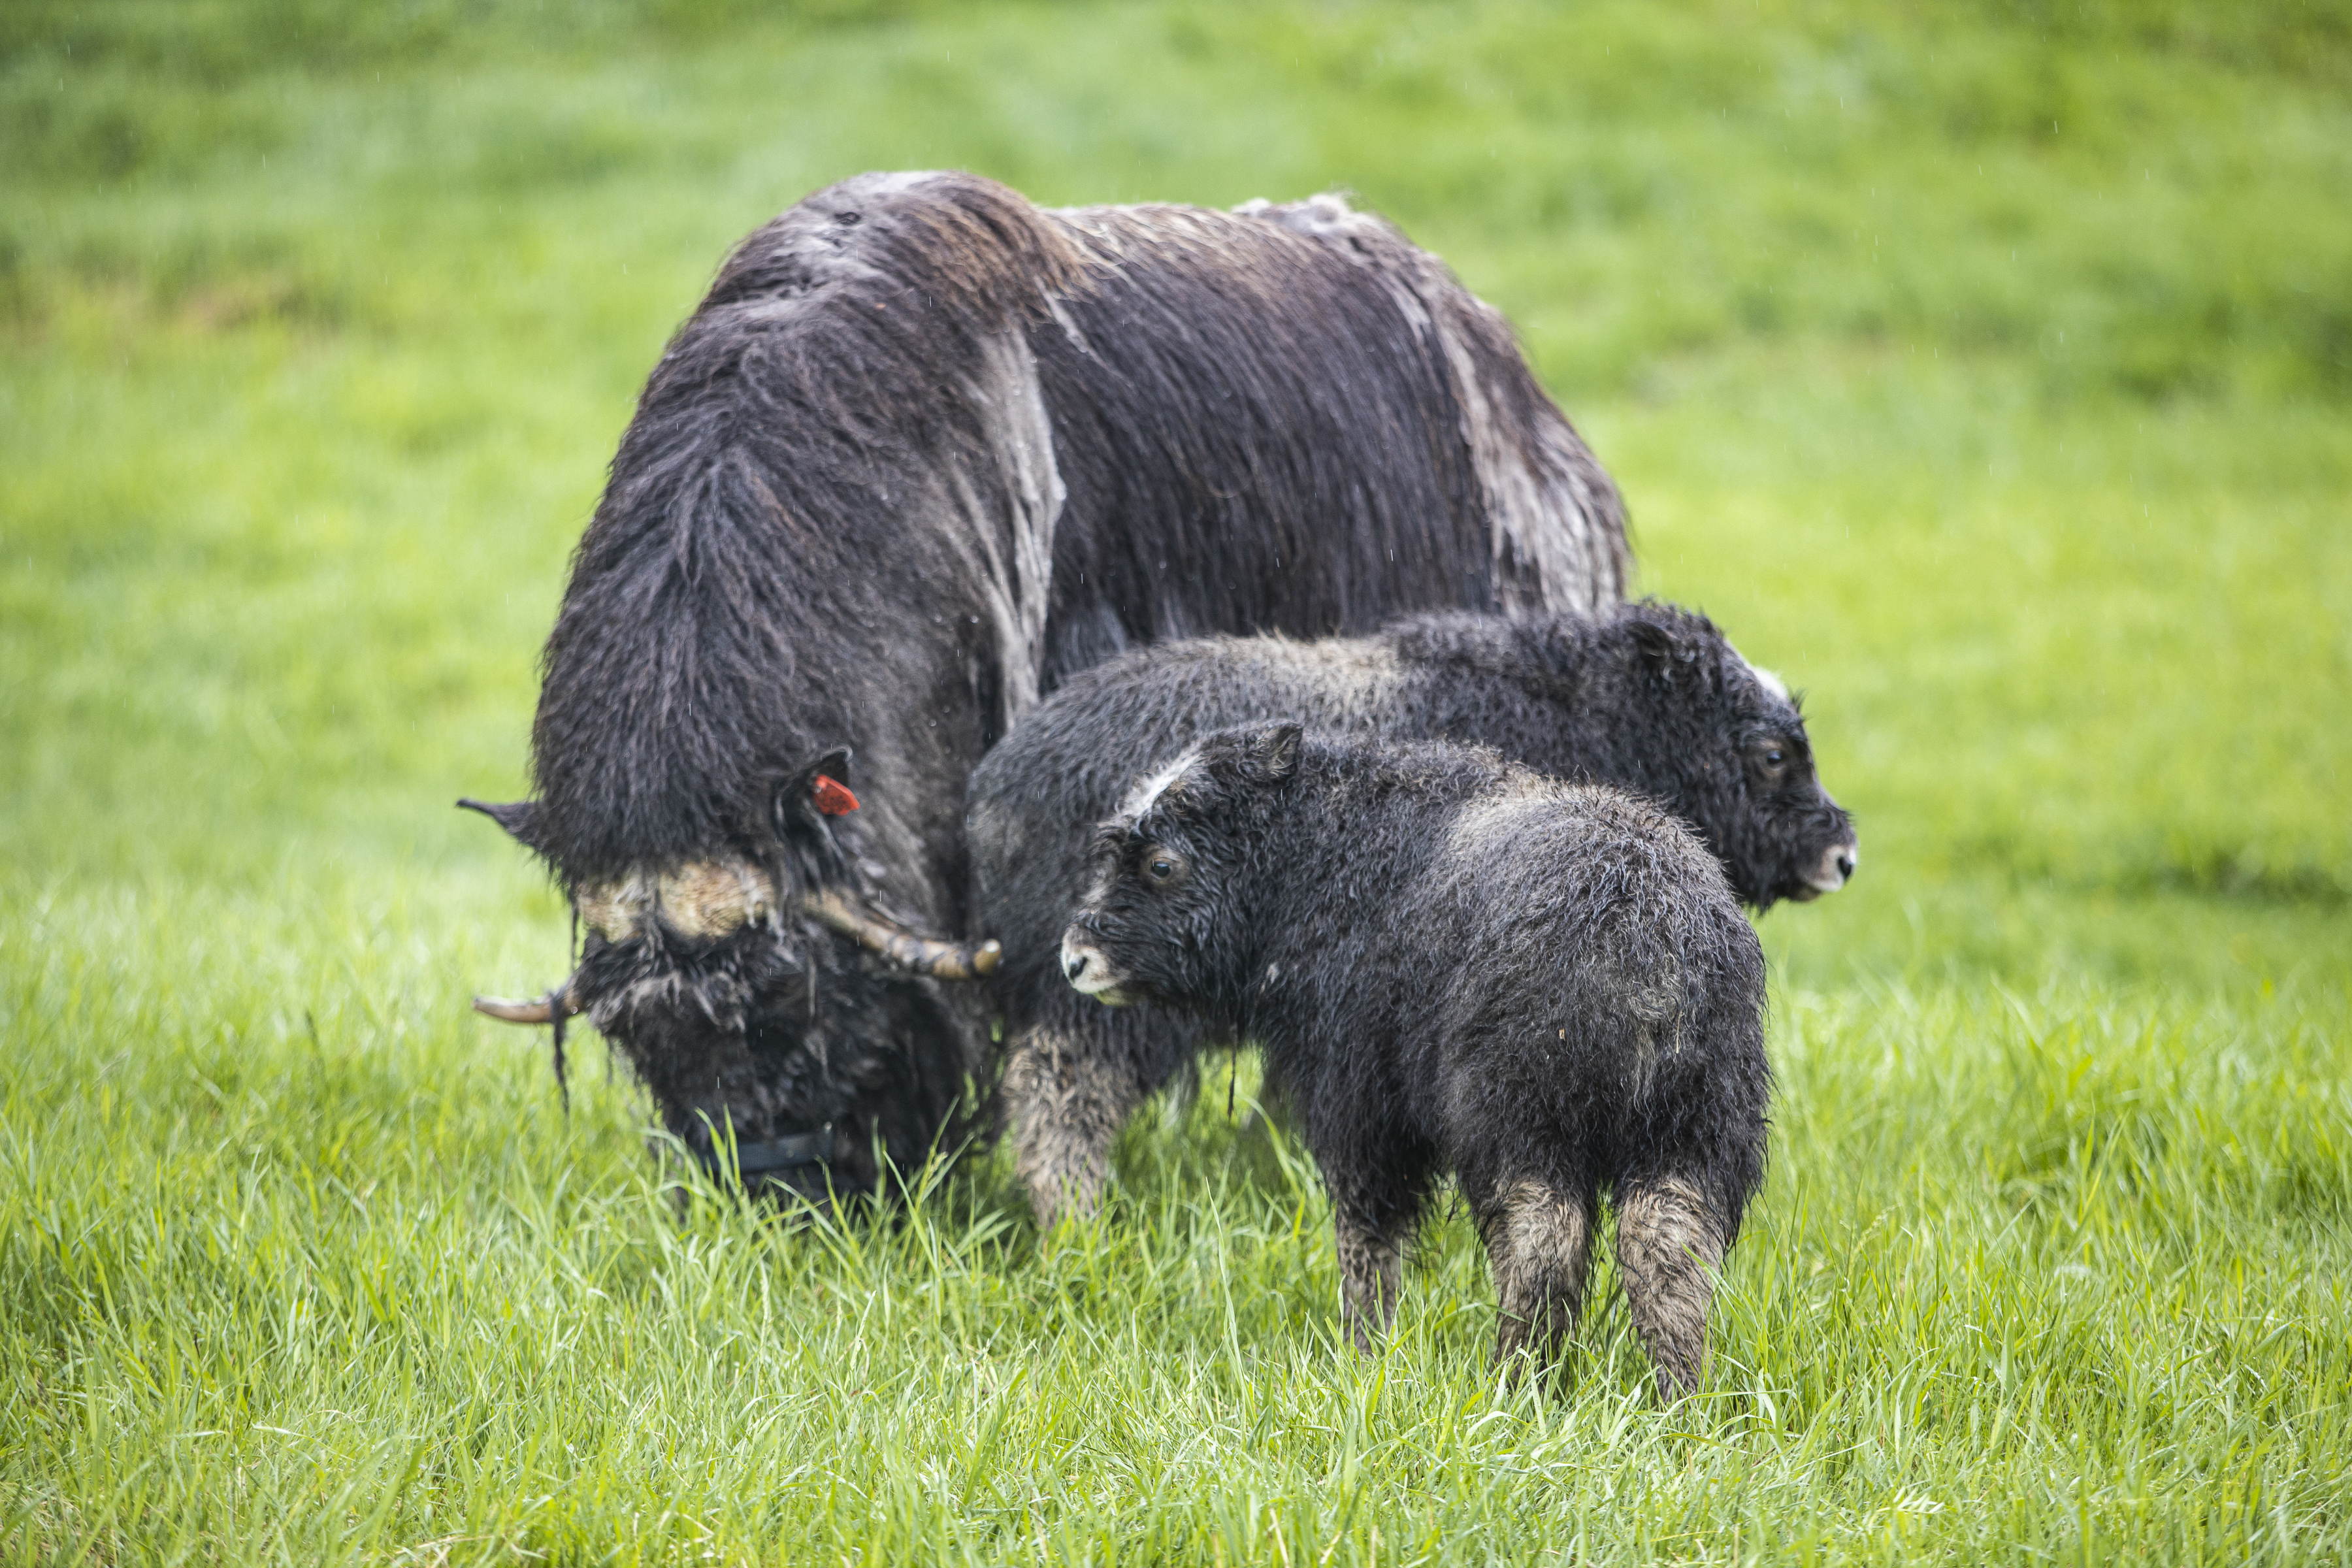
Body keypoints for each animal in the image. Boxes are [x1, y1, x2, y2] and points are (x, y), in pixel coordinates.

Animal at [966, 599, 1850, 1226]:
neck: (1590, 719)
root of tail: (1002, 785)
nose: (1843, 854)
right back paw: (1078, 1226)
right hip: (1104, 1001)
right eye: (1774, 754)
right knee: (1058, 1093)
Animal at [1057, 724, 1770, 1396]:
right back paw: (1675, 1400)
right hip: (1695, 1123)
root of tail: (1647, 942)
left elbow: (1367, 1239)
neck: (1319, 859)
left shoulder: (1357, 1107)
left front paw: (1362, 1355)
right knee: (1667, 1246)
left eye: (1162, 864)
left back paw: (1516, 1384)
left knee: (1541, 1243)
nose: (1074, 959)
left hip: (1518, 1112)